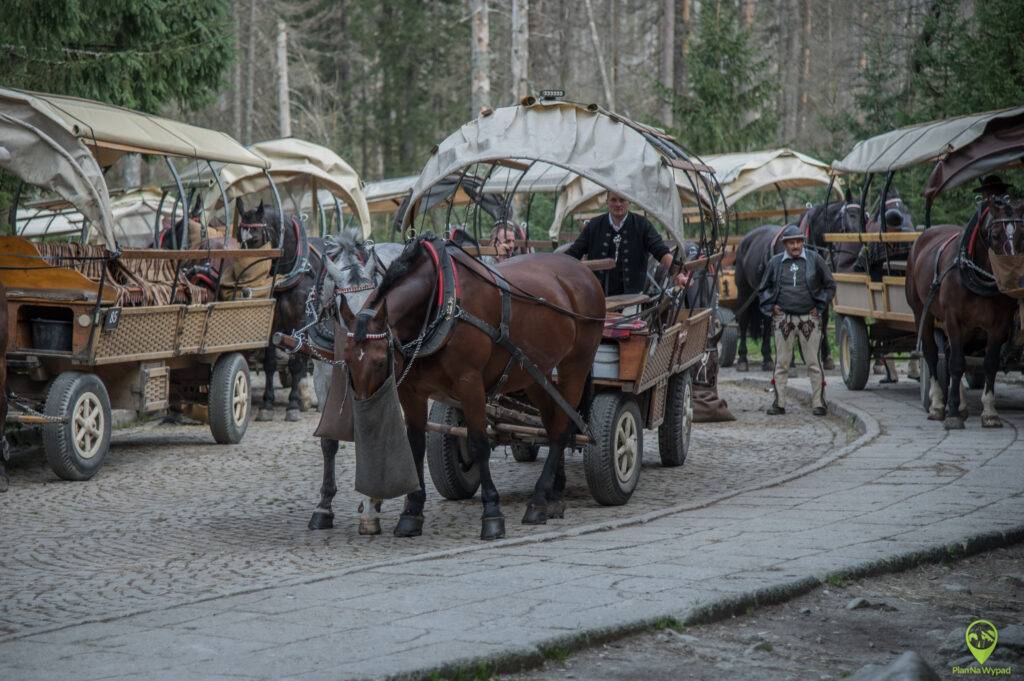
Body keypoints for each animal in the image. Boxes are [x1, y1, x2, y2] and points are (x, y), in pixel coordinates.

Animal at [339, 236, 602, 540]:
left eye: (381, 362)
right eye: (346, 360)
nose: (365, 416)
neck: (441, 301)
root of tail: (582, 270)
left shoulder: (470, 383)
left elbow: (478, 444)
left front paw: (492, 513)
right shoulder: (412, 391)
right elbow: (416, 445)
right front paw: (411, 512)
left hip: (576, 364)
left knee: (561, 429)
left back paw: (537, 502)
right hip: (535, 372)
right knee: (553, 422)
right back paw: (554, 496)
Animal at [909, 196, 1019, 428]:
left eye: (1023, 232)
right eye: (995, 235)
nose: (1011, 277)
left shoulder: (999, 324)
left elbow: (989, 364)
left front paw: (989, 412)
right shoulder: (953, 318)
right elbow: (957, 363)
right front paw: (950, 414)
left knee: (951, 351)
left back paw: (960, 405)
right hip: (922, 313)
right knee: (933, 354)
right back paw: (938, 405)